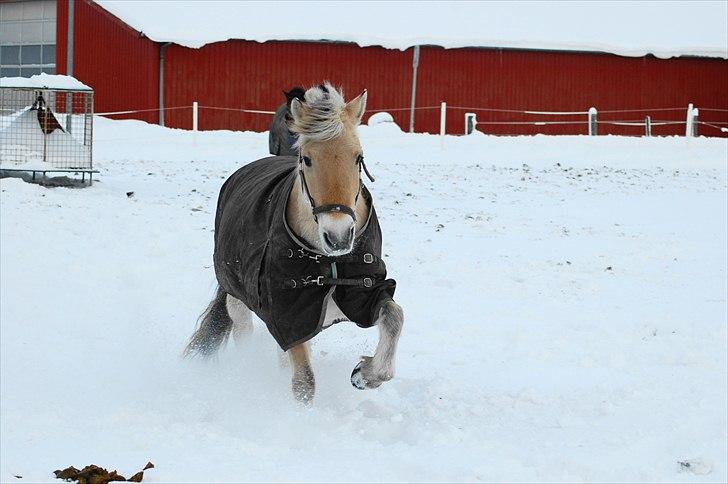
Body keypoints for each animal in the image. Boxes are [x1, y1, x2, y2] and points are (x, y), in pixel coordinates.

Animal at [185, 82, 404, 400]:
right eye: (307, 159)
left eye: (358, 158)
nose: (338, 236)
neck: (327, 261)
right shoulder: (287, 314)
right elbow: (304, 383)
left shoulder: (362, 294)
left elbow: (394, 317)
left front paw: (365, 374)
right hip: (237, 297)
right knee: (244, 332)